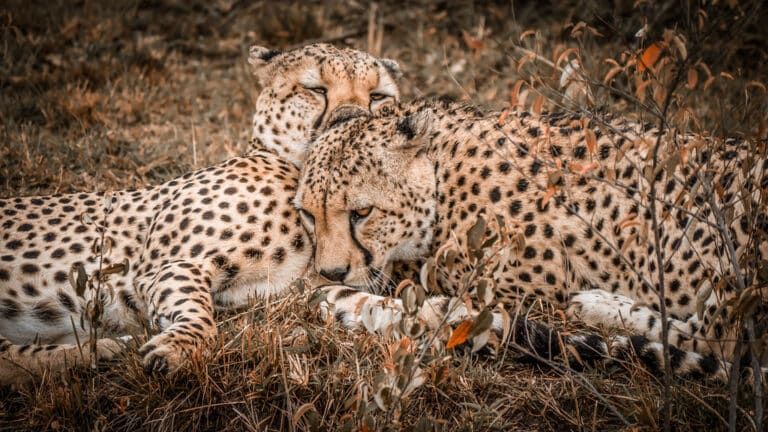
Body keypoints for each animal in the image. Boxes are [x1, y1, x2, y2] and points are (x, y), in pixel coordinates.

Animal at [0, 43, 401, 386]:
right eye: (316, 89)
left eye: (378, 97)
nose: (352, 120)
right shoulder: (168, 266)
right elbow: (199, 315)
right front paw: (179, 348)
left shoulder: (305, 290)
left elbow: (370, 303)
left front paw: (414, 317)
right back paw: (109, 349)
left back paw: (106, 350)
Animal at [296, 97, 768, 385]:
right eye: (308, 213)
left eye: (361, 213)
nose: (331, 271)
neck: (441, 175)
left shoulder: (524, 288)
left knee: (717, 341)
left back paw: (596, 305)